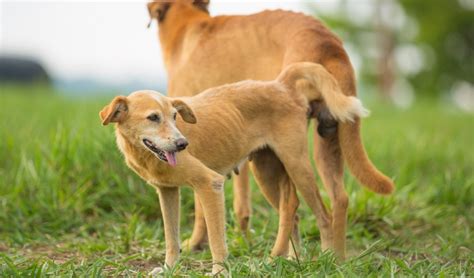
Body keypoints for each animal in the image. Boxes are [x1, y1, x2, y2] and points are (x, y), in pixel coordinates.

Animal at [101, 62, 370, 274]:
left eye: (175, 116)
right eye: (153, 117)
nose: (182, 144)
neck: (146, 155)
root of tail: (281, 84)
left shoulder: (210, 184)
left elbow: (216, 240)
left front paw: (219, 272)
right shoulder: (167, 192)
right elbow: (171, 237)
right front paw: (169, 268)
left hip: (297, 165)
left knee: (324, 215)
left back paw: (327, 259)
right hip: (266, 172)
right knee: (291, 210)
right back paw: (292, 260)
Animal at [146, 0, 394, 260]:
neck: (188, 25)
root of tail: (327, 41)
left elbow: (200, 206)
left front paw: (196, 243)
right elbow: (241, 204)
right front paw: (242, 239)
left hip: (288, 155)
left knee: (292, 204)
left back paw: (283, 255)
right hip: (325, 142)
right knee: (338, 199)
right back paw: (333, 259)